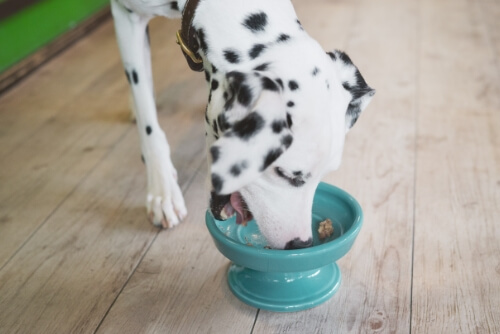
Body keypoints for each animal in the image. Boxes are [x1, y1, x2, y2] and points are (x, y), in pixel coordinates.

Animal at [110, 0, 376, 248]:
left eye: (325, 174)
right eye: (285, 174)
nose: (301, 244)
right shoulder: (126, 16)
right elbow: (145, 111)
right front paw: (162, 188)